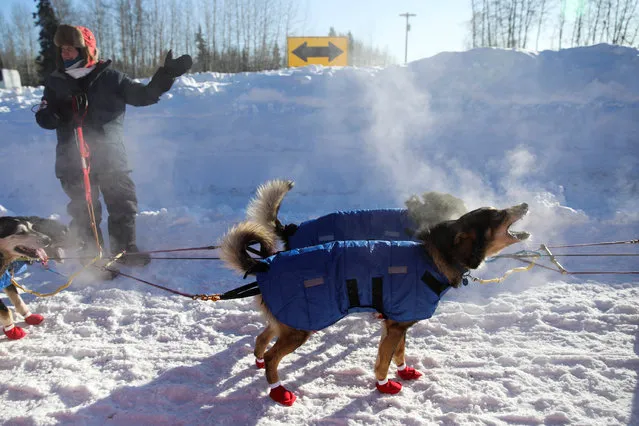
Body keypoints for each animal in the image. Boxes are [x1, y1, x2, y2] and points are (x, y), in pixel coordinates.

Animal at [220, 203, 528, 406]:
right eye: (498, 214)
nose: (524, 204)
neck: (433, 260)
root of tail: (264, 264)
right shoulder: (395, 327)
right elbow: (383, 362)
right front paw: (384, 385)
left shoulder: (398, 323)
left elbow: (398, 353)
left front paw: (403, 371)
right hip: (300, 328)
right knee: (274, 356)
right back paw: (276, 389)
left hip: (286, 322)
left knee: (262, 338)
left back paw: (259, 361)